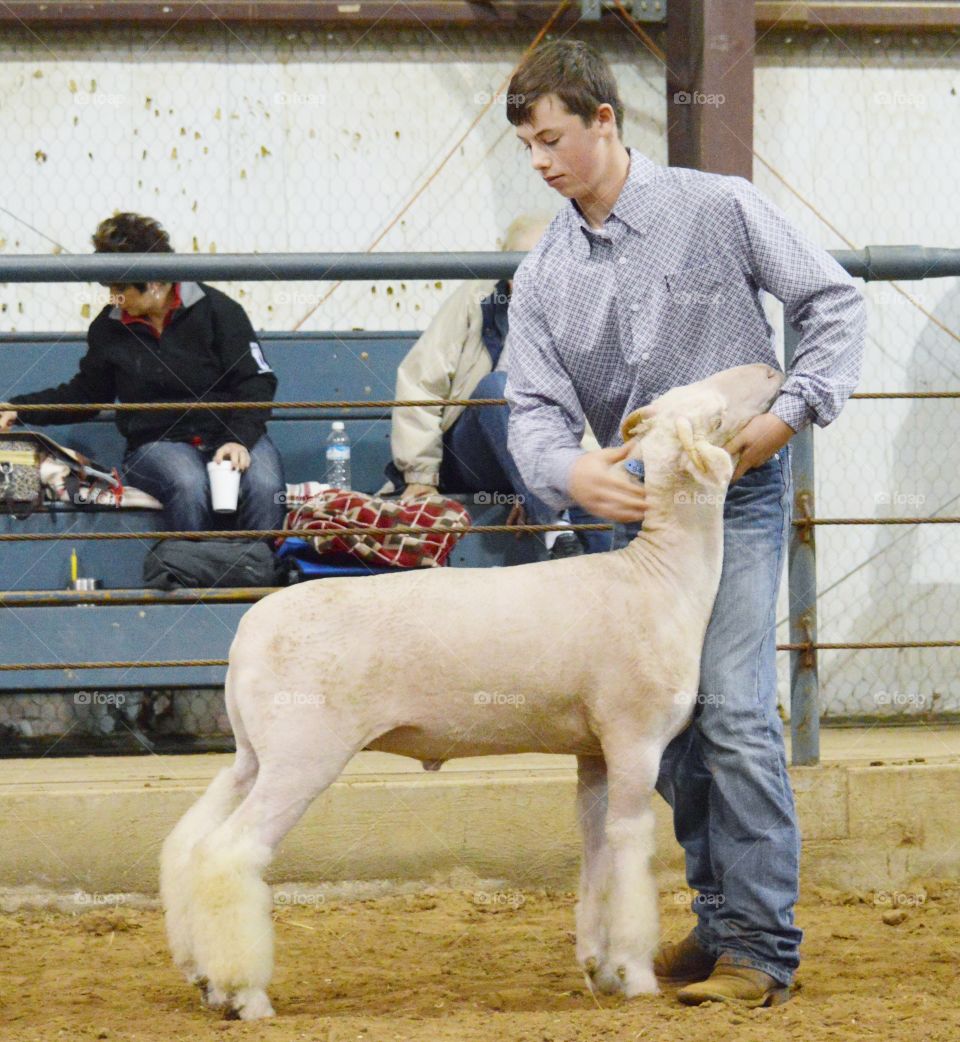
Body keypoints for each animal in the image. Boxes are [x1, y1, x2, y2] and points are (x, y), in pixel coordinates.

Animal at [159, 360, 788, 1016]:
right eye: (714, 411)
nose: (771, 369)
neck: (662, 575)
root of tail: (247, 634)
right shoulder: (635, 740)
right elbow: (629, 856)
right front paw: (635, 975)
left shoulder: (593, 752)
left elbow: (597, 856)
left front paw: (598, 967)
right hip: (303, 751)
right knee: (229, 853)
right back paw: (246, 994)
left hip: (256, 751)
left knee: (189, 845)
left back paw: (204, 976)